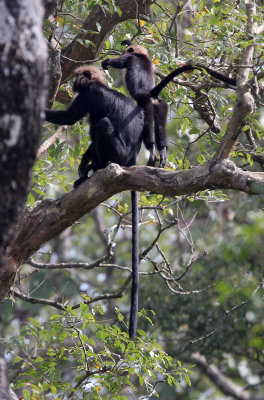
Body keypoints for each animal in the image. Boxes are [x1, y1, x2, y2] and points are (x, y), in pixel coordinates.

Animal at [45, 65, 144, 338]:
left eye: (80, 77)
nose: (73, 82)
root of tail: (132, 159)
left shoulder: (89, 95)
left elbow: (69, 118)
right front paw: (83, 165)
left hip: (118, 153)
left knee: (102, 124)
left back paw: (99, 166)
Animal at [101, 43, 237, 167]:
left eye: (127, 52)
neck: (142, 56)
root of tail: (153, 93)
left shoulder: (131, 57)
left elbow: (118, 62)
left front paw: (106, 62)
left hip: (146, 103)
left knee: (147, 124)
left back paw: (152, 150)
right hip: (161, 106)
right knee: (160, 126)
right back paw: (162, 150)